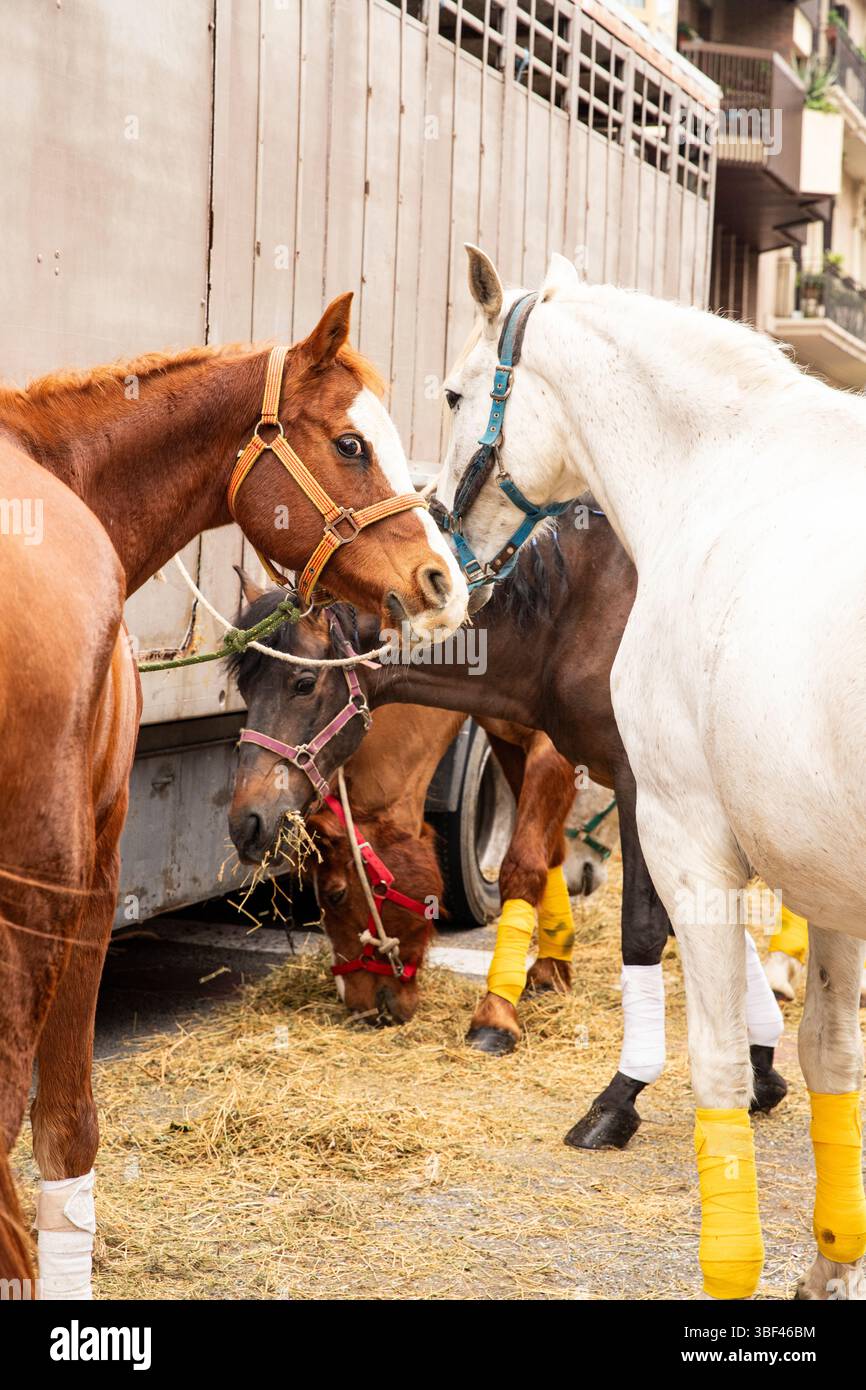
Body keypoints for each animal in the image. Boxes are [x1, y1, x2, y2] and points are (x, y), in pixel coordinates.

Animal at [224, 514, 788, 1148]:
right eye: (246, 691)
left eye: (301, 684)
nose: (246, 821)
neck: (574, 615)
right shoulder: (519, 742)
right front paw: (760, 1062)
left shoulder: (631, 779)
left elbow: (633, 919)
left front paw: (610, 1091)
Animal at [433, 243, 866, 1300]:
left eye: (457, 393)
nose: (441, 552)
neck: (723, 478)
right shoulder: (823, 872)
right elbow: (831, 1057)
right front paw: (832, 1263)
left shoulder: (683, 833)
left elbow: (713, 1054)